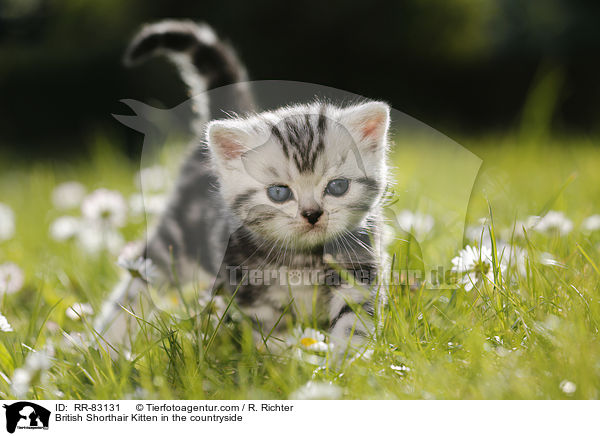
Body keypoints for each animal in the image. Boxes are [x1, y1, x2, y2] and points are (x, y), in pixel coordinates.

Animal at [95, 19, 390, 354]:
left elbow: (352, 323)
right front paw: (279, 363)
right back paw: (107, 342)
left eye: (338, 187)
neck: (303, 260)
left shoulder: (358, 272)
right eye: (279, 193)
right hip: (177, 241)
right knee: (138, 281)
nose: (312, 215)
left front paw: (348, 363)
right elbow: (272, 335)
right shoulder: (252, 291)